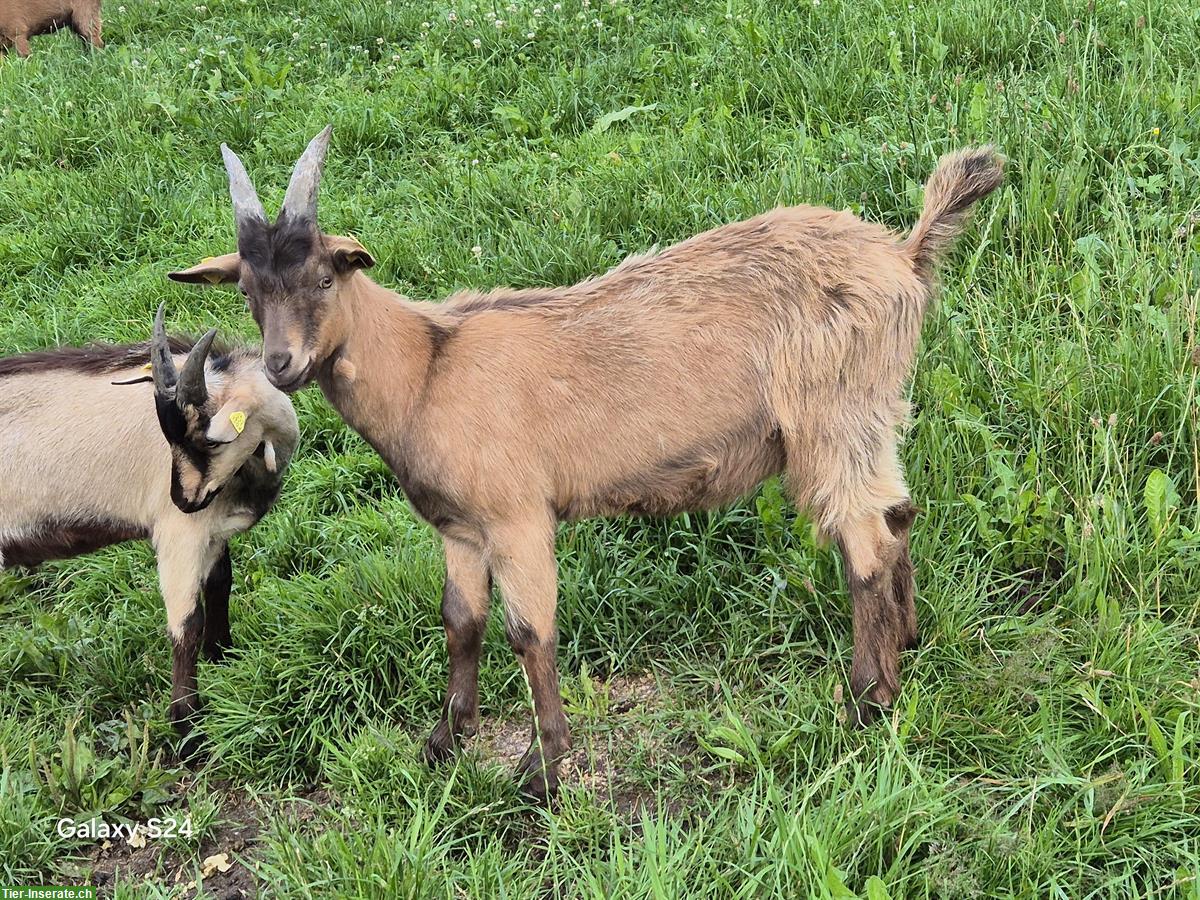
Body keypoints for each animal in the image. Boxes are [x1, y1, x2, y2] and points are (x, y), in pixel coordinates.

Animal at [0, 309, 297, 753]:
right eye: (175, 436)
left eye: (210, 443)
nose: (183, 498)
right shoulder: (179, 533)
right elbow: (186, 623)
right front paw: (187, 731)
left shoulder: (213, 529)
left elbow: (220, 584)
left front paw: (223, 656)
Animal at [169, 130, 1003, 801]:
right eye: (248, 290)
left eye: (324, 276)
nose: (282, 364)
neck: (429, 367)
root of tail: (903, 255)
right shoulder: (459, 529)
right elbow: (461, 623)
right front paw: (444, 743)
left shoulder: (517, 518)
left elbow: (529, 632)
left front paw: (543, 771)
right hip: (871, 414)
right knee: (897, 514)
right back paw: (908, 643)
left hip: (830, 416)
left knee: (864, 544)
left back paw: (867, 698)